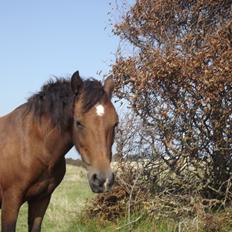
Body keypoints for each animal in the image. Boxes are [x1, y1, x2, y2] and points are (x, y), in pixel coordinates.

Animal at [0, 71, 118, 232]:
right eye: (78, 123)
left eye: (115, 123)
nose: (102, 180)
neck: (32, 145)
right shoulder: (11, 202)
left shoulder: (41, 200)